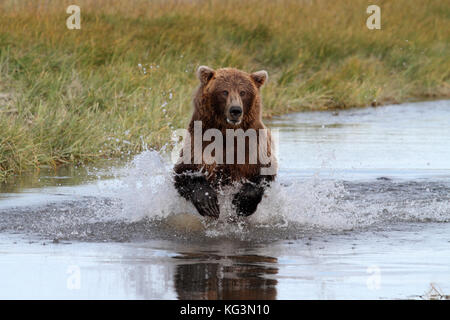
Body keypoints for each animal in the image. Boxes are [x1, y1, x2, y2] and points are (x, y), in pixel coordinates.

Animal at [173, 65, 276, 218]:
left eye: (243, 92)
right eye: (224, 91)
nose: (236, 110)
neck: (227, 133)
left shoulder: (254, 146)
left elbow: (263, 173)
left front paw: (242, 204)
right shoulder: (199, 142)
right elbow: (185, 172)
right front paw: (208, 203)